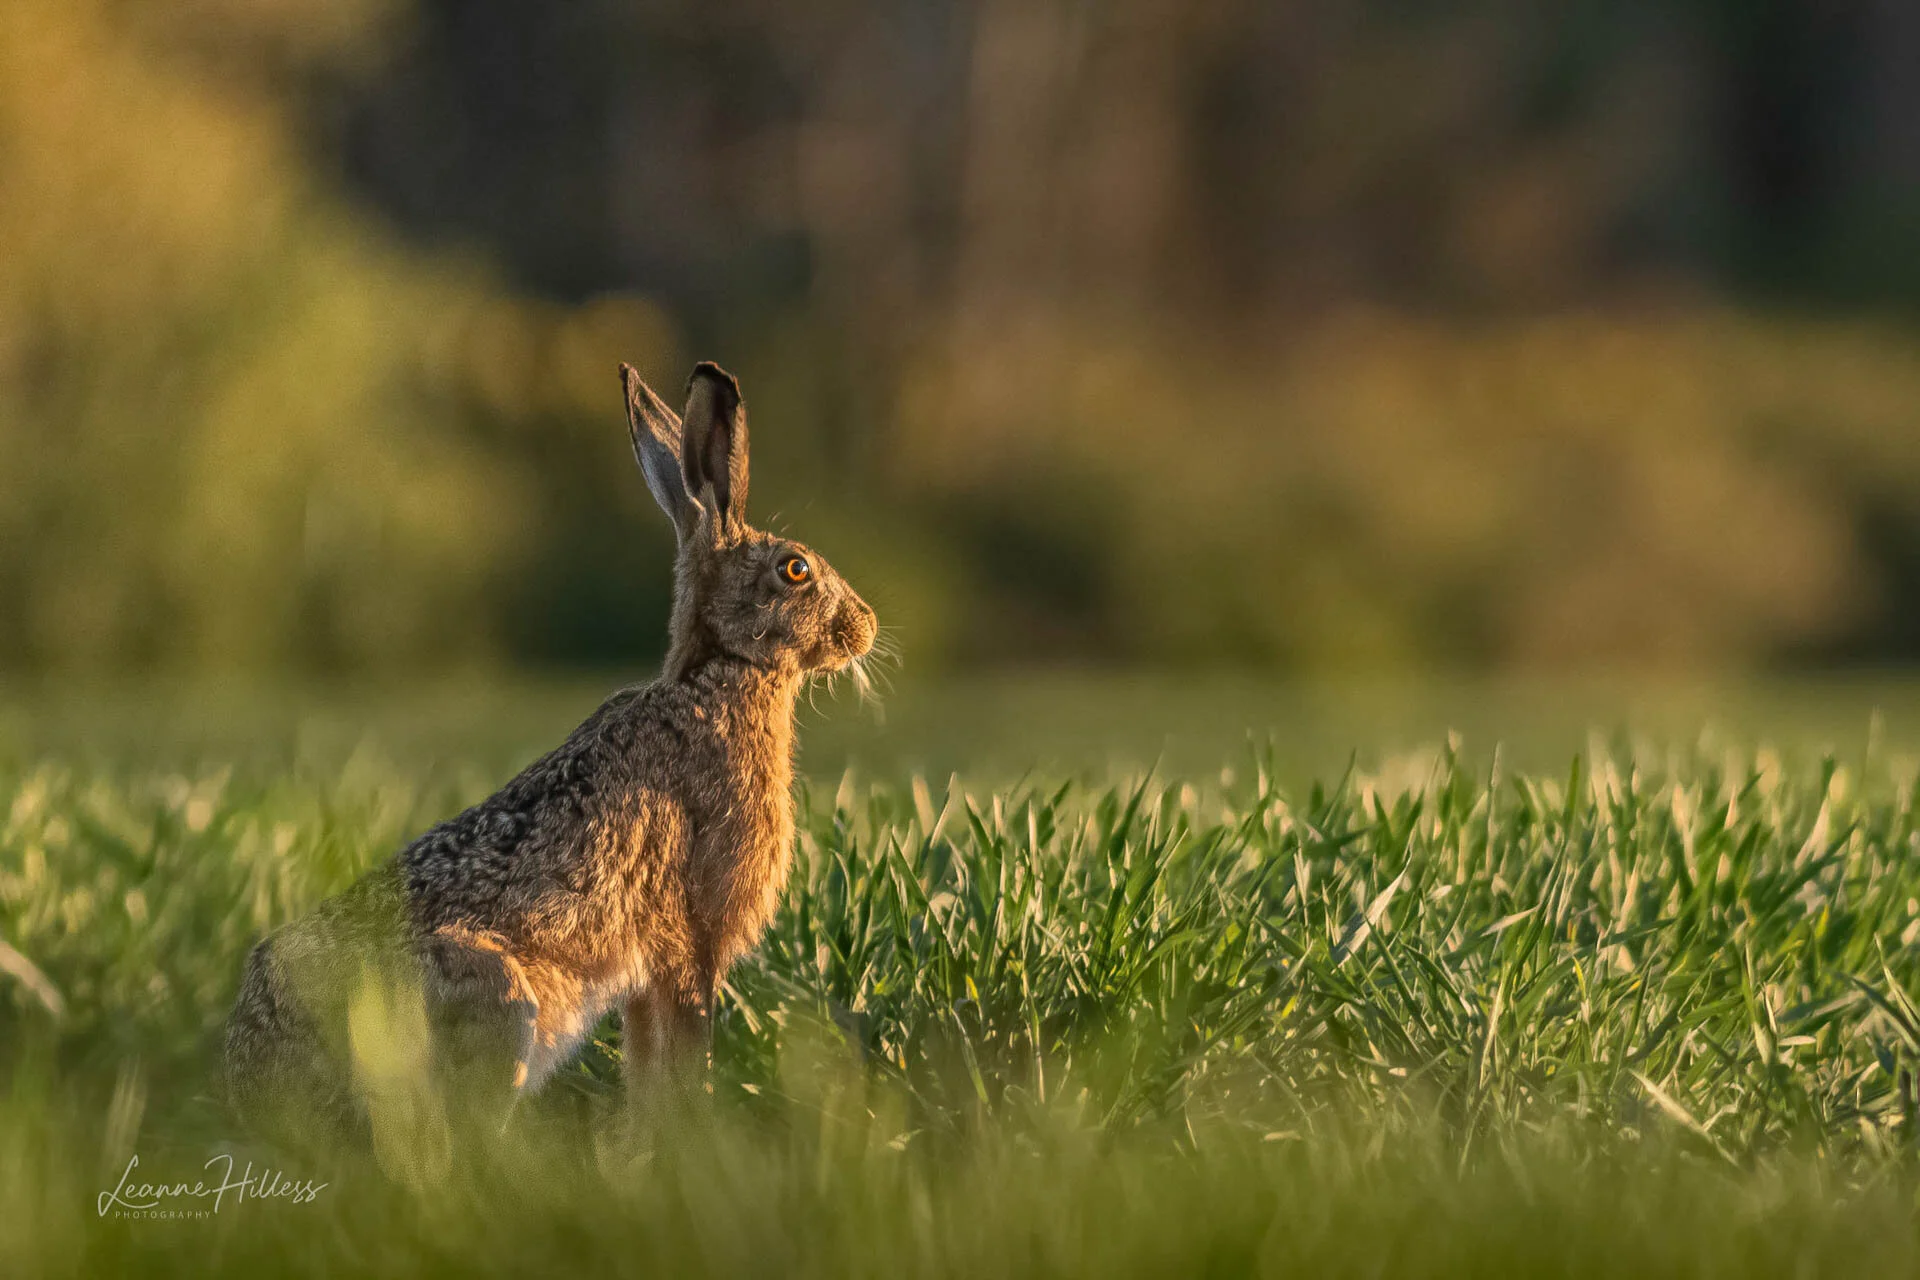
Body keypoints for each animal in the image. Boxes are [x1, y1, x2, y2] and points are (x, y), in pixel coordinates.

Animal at [224, 361, 879, 1137]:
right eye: (795, 569)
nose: (866, 624)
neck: (721, 670)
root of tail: (258, 1077)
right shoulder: (691, 944)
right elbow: (688, 1056)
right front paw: (697, 1138)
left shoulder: (648, 976)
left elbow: (650, 1071)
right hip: (498, 1001)